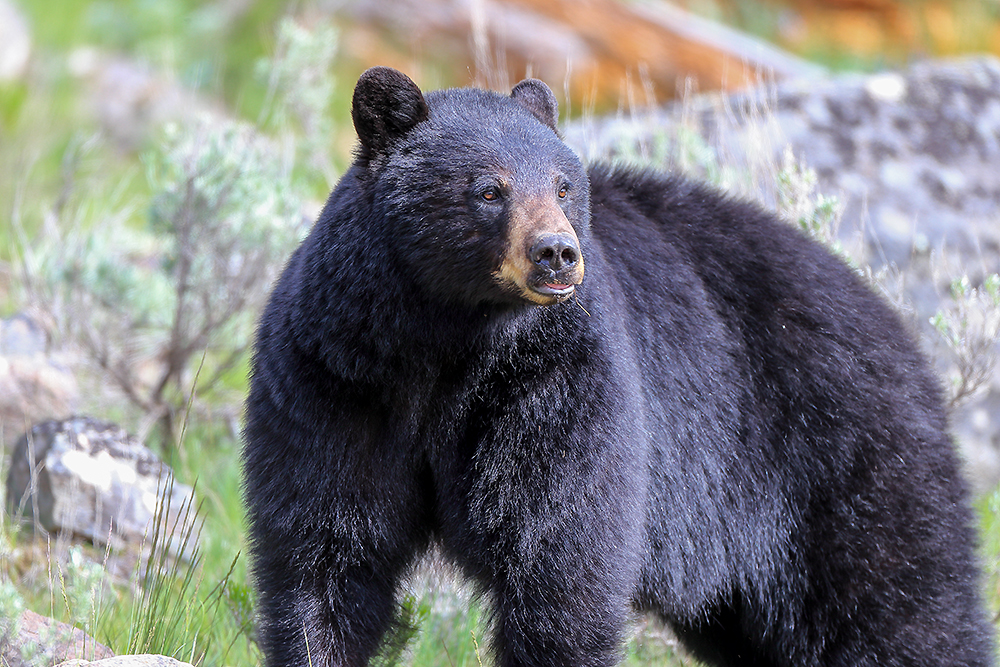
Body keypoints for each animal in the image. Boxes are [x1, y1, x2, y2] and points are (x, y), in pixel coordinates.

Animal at [241, 66, 994, 667]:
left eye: (564, 185)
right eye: (489, 189)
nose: (556, 253)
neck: (447, 344)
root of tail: (900, 331)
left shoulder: (559, 383)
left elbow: (561, 564)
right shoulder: (336, 377)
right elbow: (326, 555)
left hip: (842, 471)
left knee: (901, 609)